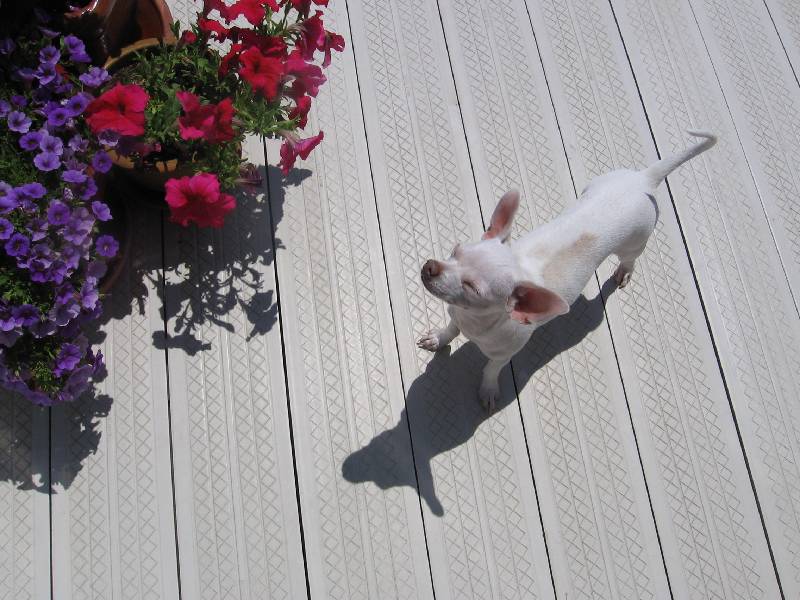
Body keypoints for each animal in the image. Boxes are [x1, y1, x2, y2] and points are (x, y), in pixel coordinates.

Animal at [418, 130, 717, 411]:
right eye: (456, 251)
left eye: (472, 287)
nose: (429, 267)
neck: (475, 322)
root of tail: (643, 180)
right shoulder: (456, 315)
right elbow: (451, 330)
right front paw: (438, 338)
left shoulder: (504, 355)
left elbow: (491, 369)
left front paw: (488, 389)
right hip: (595, 185)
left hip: (634, 241)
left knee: (630, 257)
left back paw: (624, 270)